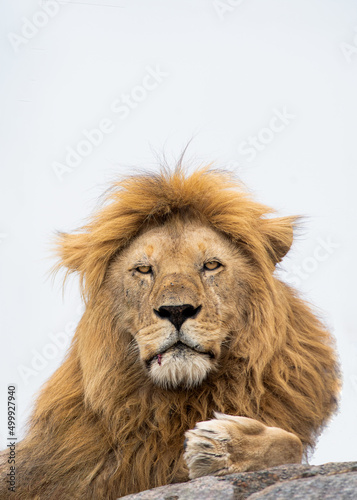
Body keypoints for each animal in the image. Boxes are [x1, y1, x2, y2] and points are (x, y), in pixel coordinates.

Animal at [0, 169, 340, 500]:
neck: (178, 402)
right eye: (143, 269)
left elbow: (291, 443)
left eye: (211, 265)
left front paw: (223, 445)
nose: (176, 310)